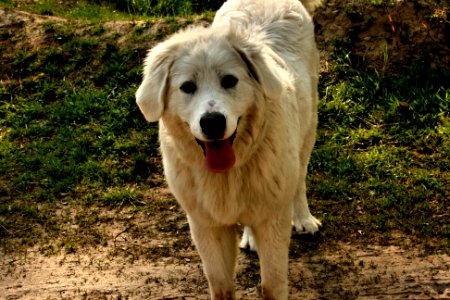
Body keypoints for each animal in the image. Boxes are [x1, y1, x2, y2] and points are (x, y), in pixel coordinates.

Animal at [135, 0, 322, 298]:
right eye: (187, 87)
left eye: (229, 81)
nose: (212, 122)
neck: (229, 173)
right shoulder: (206, 226)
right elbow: (221, 285)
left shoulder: (273, 220)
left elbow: (272, 285)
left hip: (308, 129)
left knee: (300, 179)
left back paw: (304, 218)